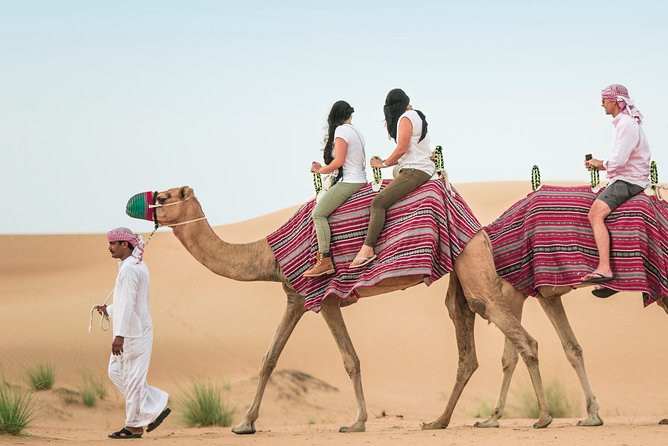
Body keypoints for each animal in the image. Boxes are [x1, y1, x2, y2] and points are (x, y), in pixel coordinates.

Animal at [140, 185, 554, 434]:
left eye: (167, 195)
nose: (144, 202)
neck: (269, 255)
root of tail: (478, 225)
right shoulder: (295, 298)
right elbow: (269, 358)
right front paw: (245, 423)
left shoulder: (324, 298)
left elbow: (349, 358)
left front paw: (356, 422)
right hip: (461, 271)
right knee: (466, 341)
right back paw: (438, 421)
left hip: (472, 265)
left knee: (523, 339)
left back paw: (543, 418)